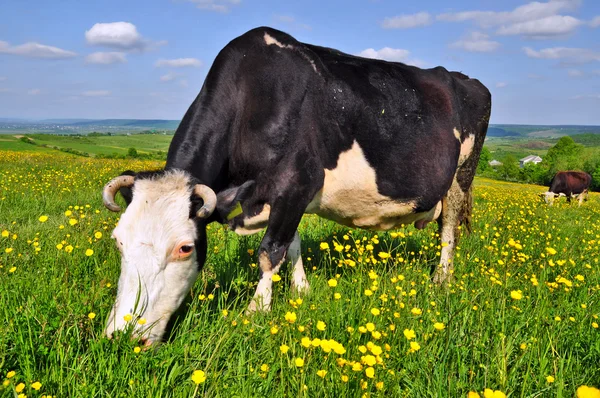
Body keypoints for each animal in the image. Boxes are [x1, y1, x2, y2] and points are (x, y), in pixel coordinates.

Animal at [99, 26, 492, 344]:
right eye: (118, 241)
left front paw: (256, 311)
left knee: (449, 229)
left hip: (461, 175)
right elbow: (291, 244)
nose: (124, 335)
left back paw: (441, 281)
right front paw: (302, 290)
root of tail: (465, 79)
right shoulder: (286, 194)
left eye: (184, 248)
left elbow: (270, 250)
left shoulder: (295, 183)